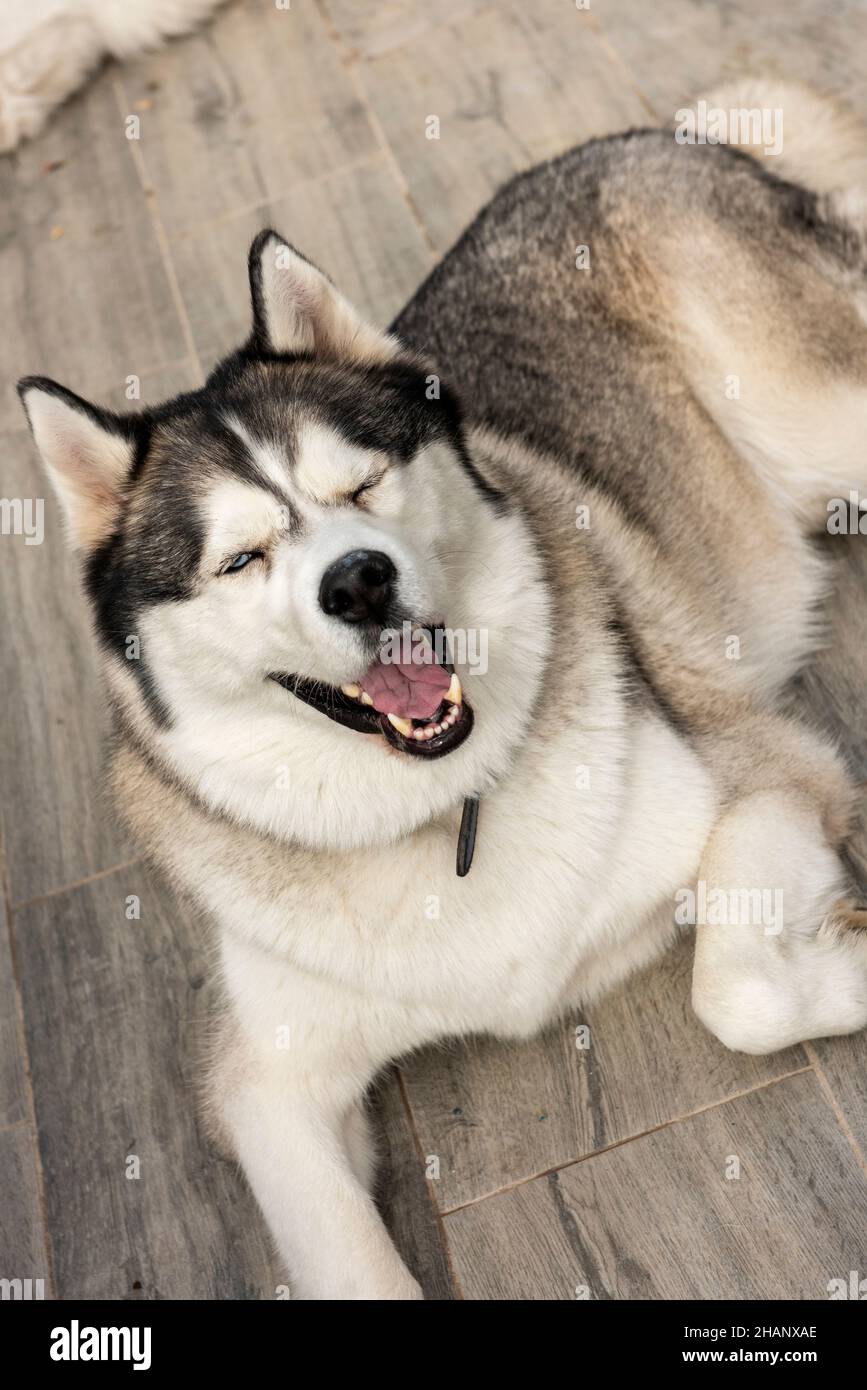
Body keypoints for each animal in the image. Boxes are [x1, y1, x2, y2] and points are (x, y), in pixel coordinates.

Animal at [16, 81, 867, 1295]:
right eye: (241, 559)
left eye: (360, 484)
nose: (359, 579)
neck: (439, 810)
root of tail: (669, 134)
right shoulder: (261, 1087)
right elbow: (344, 1257)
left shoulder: (769, 776)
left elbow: (735, 989)